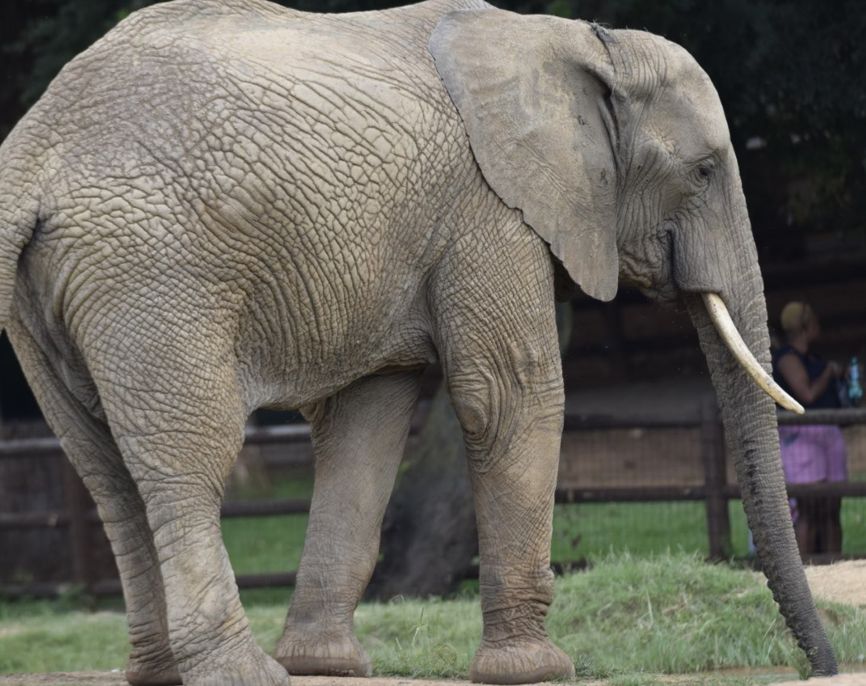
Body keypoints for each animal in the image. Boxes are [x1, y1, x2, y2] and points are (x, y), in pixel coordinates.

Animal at [0, 0, 837, 684]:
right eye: (703, 171)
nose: (822, 666)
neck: (574, 38)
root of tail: (31, 153)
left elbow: (366, 424)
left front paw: (330, 667)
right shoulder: (488, 209)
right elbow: (510, 393)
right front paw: (536, 671)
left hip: (48, 300)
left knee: (103, 470)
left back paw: (165, 673)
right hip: (155, 272)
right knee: (187, 461)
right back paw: (243, 674)